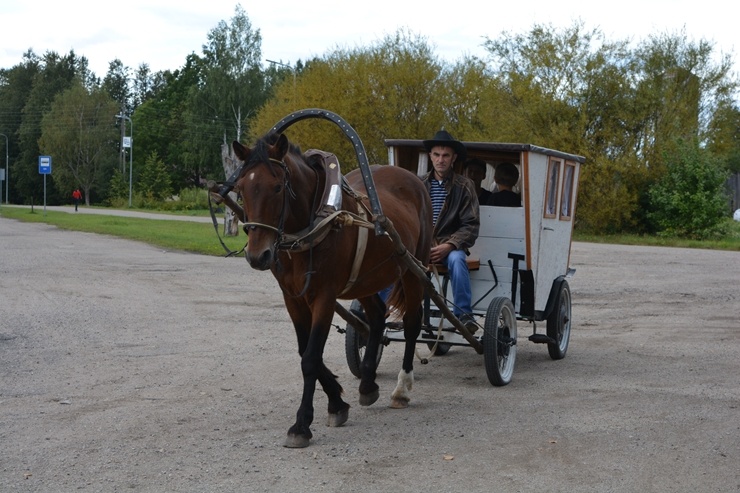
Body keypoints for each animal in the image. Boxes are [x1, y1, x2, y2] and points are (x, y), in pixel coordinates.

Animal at [233, 133, 434, 448]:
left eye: (277, 187)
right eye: (241, 188)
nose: (257, 256)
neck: (314, 224)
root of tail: (414, 179)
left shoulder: (324, 297)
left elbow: (311, 357)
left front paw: (302, 424)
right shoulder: (293, 298)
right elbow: (305, 351)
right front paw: (337, 403)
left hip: (414, 267)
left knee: (413, 324)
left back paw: (402, 389)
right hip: (366, 278)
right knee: (376, 317)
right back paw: (367, 383)